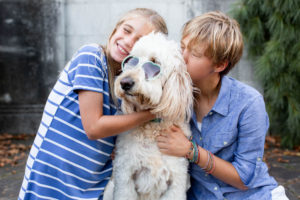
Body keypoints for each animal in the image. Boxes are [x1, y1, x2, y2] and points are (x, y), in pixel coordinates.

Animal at [104, 32, 193, 200]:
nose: (125, 83)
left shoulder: (176, 182)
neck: (152, 127)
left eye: (154, 64)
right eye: (131, 61)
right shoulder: (125, 176)